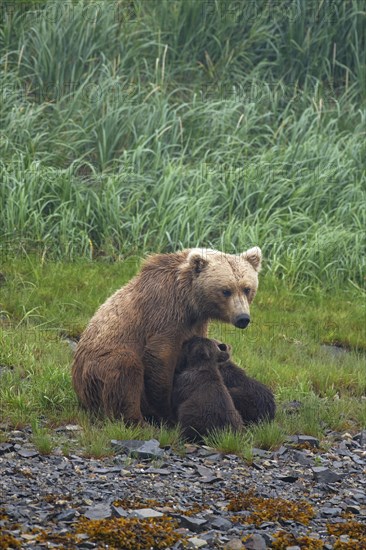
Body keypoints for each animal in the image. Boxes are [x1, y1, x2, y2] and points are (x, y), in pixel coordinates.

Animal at [71, 248, 260, 424]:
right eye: (226, 290)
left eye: (247, 288)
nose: (243, 318)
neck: (189, 300)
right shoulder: (164, 314)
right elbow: (160, 357)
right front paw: (165, 412)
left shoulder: (196, 323)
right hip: (95, 371)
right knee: (124, 368)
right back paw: (136, 420)